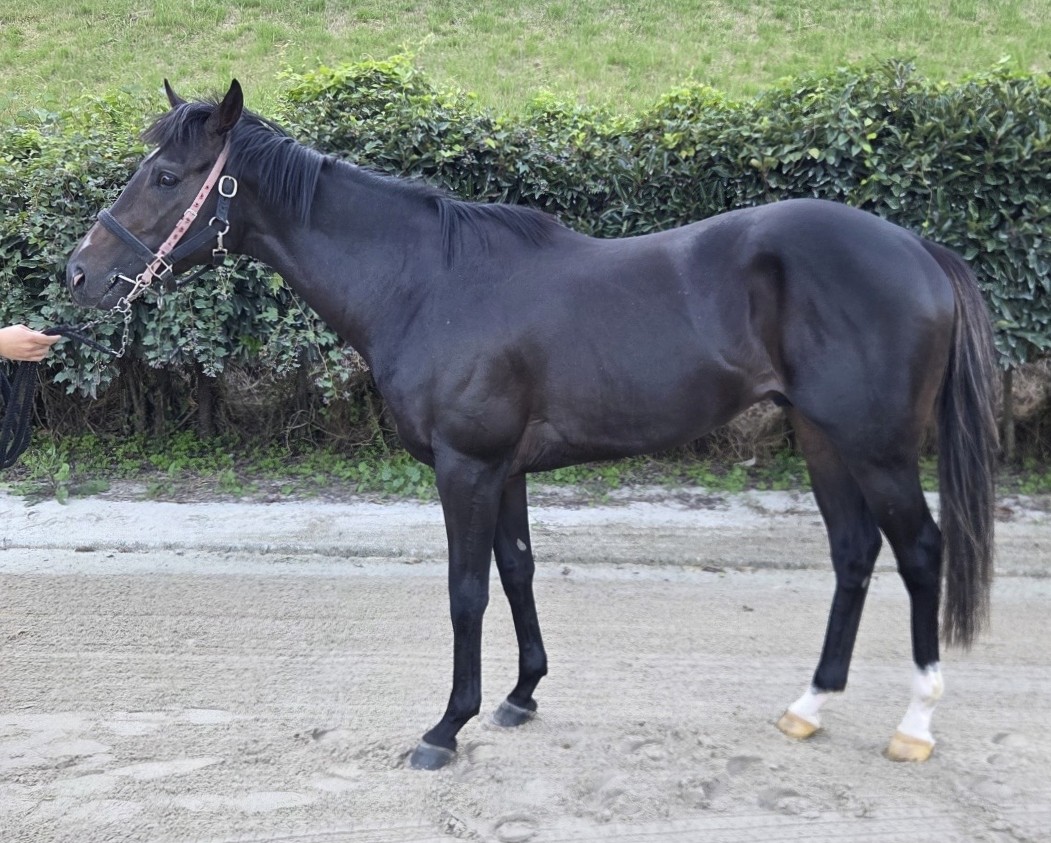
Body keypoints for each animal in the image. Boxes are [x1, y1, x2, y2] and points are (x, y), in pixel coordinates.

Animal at [65, 79, 999, 769]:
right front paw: (520, 695)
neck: (426, 281)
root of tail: (917, 250)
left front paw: (446, 727)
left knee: (920, 552)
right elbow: (517, 570)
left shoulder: (466, 466)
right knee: (853, 552)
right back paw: (808, 705)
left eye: (166, 177)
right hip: (821, 438)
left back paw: (913, 726)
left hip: (875, 446)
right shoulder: (505, 468)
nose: (79, 274)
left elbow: (466, 591)